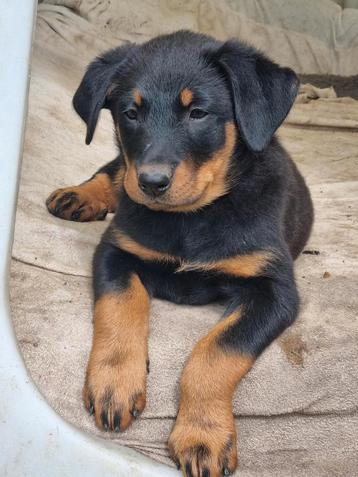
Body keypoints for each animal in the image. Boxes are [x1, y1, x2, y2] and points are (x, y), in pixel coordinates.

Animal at [46, 30, 314, 476]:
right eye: (130, 113)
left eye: (199, 113)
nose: (152, 182)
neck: (192, 218)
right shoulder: (116, 250)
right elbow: (121, 305)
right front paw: (114, 382)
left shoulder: (274, 289)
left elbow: (216, 351)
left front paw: (202, 434)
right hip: (124, 175)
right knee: (113, 170)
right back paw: (79, 195)